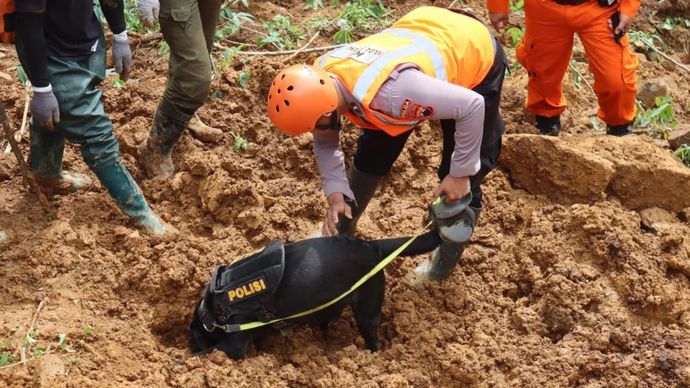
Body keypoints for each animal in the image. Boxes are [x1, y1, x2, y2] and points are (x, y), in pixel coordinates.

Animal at [188, 229, 438, 360]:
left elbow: (204, 353)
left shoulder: (235, 344)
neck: (214, 310)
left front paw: (183, 361)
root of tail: (371, 246)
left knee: (372, 339)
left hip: (367, 309)